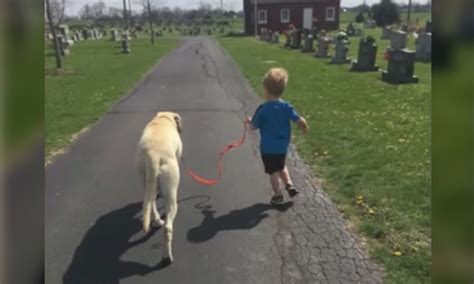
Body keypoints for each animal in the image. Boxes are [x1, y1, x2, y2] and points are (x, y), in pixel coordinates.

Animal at [137, 111, 183, 264]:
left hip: (145, 179)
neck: (163, 118)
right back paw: (166, 257)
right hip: (171, 191)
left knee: (150, 204)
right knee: (168, 227)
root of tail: (153, 156)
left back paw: (157, 221)